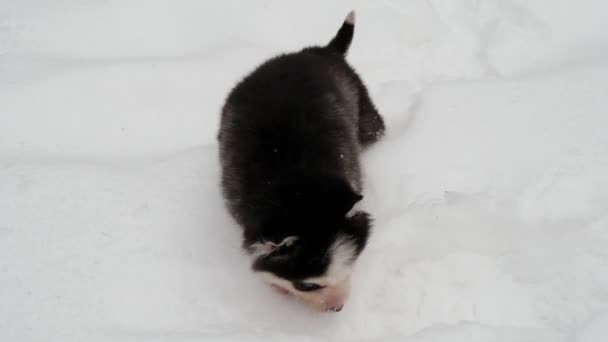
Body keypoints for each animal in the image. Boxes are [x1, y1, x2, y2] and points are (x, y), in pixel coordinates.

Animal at [216, 10, 382, 312]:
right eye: (308, 286)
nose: (338, 307)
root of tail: (322, 51)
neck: (299, 189)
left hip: (366, 115)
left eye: (349, 269)